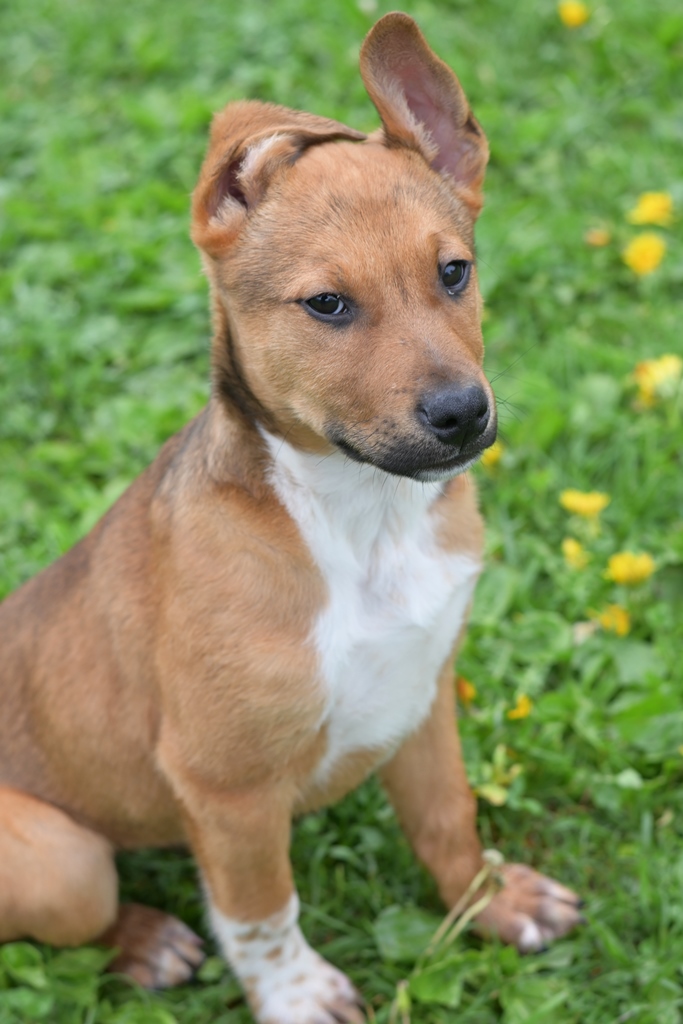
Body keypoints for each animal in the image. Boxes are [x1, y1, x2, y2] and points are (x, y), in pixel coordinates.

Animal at [0, 13, 581, 1023]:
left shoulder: (424, 692)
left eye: (454, 272)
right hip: (63, 859)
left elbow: (448, 817)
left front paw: (490, 900)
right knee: (89, 913)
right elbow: (262, 908)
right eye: (327, 304)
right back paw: (148, 944)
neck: (360, 521)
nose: (462, 415)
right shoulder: (226, 790)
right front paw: (298, 993)